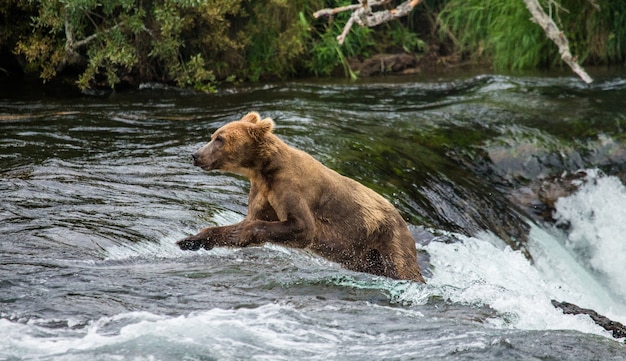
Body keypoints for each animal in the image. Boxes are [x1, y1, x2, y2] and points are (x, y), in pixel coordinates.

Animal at [176, 111, 424, 282]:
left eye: (220, 139)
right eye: (213, 136)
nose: (195, 155)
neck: (264, 169)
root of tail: (402, 218)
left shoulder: (290, 187)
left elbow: (302, 226)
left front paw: (240, 232)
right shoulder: (262, 192)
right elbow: (248, 221)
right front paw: (191, 240)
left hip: (387, 237)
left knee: (402, 268)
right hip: (364, 255)